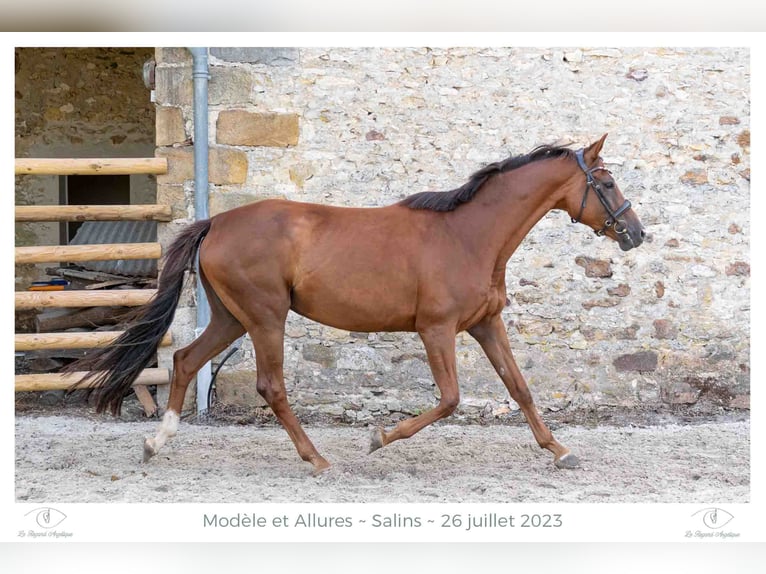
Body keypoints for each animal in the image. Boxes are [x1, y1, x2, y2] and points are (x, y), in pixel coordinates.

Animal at [73, 134, 648, 472]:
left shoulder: (485, 324)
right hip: (264, 316)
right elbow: (449, 399)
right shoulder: (436, 329)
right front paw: (379, 438)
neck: (469, 235)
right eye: (607, 181)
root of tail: (215, 222)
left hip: (233, 318)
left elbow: (520, 388)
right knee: (269, 385)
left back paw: (156, 444)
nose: (636, 233)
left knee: (185, 359)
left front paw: (562, 450)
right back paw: (317, 459)